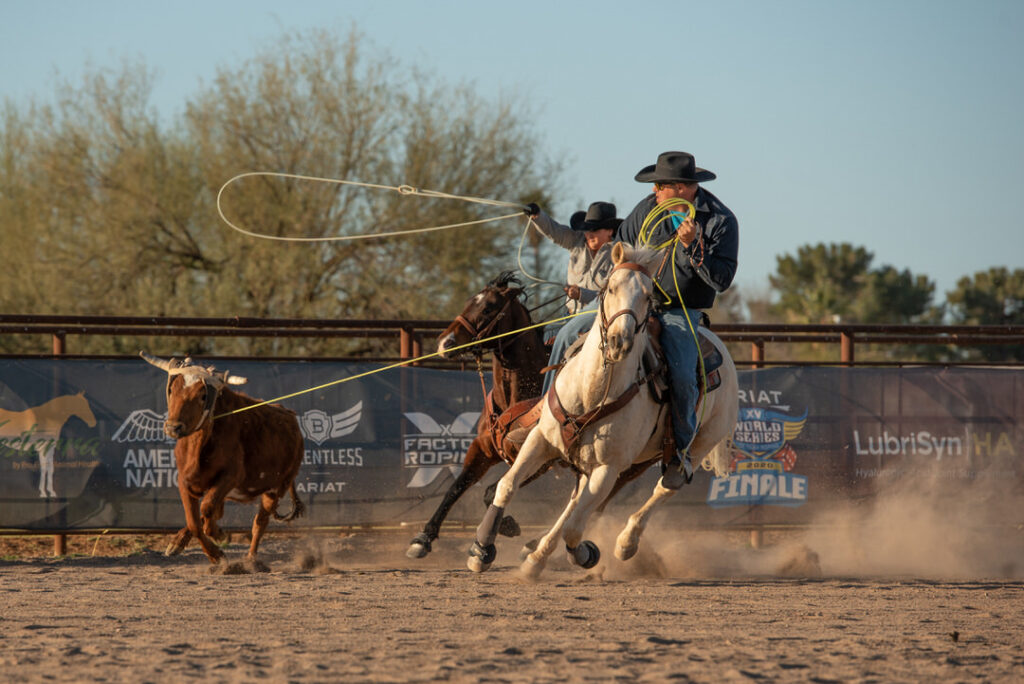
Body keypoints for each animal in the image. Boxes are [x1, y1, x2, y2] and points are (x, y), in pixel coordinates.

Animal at [407, 270, 552, 557]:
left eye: (488, 308)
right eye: (468, 302)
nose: (445, 342)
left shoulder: (540, 460)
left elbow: (492, 491)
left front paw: (507, 526)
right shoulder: (482, 450)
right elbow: (456, 487)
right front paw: (424, 537)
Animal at [468, 242, 741, 581]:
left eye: (648, 295)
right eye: (611, 288)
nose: (618, 341)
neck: (593, 391)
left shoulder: (609, 468)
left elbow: (574, 529)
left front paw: (586, 553)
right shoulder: (540, 440)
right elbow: (506, 487)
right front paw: (481, 550)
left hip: (692, 446)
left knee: (661, 489)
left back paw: (624, 544)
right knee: (576, 503)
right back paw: (535, 557)